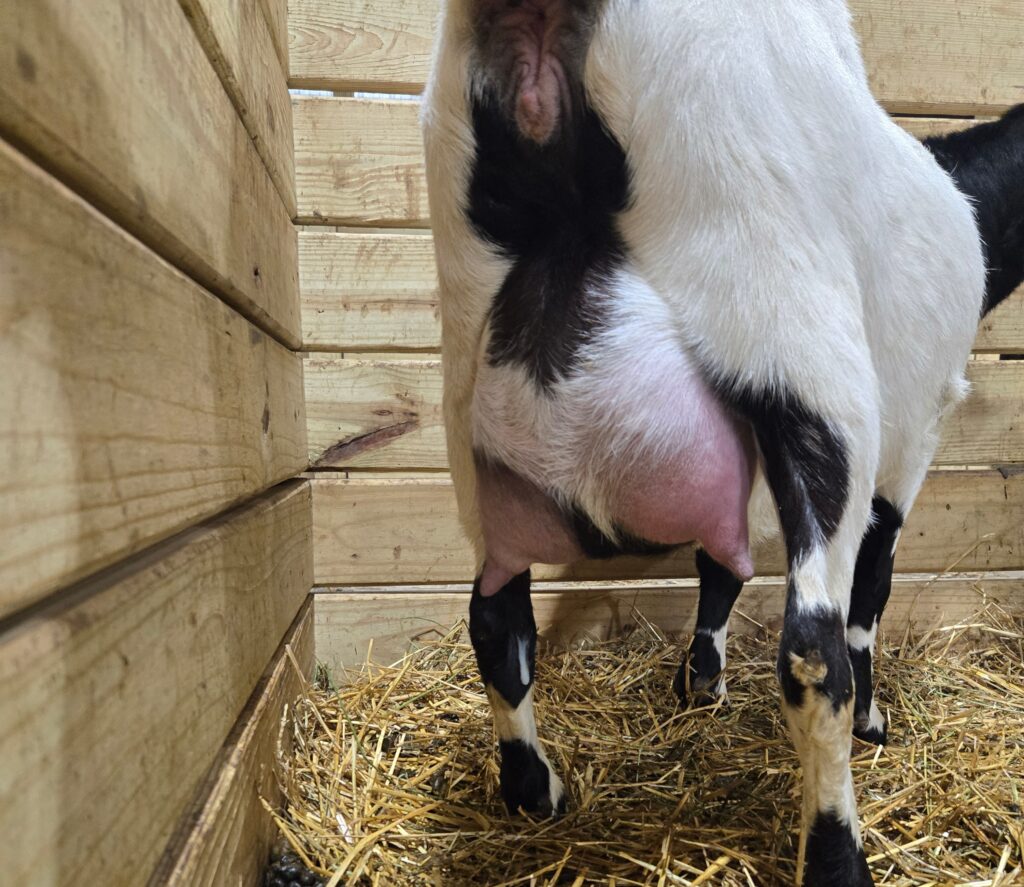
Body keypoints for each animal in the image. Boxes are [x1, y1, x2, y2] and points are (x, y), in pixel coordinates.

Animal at [421, 0, 1023, 883]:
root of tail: (539, 36)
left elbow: (718, 562)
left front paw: (700, 682)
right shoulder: (913, 437)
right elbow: (870, 588)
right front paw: (874, 720)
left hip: (467, 375)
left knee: (496, 620)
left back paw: (536, 792)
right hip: (795, 328)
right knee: (812, 651)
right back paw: (837, 854)